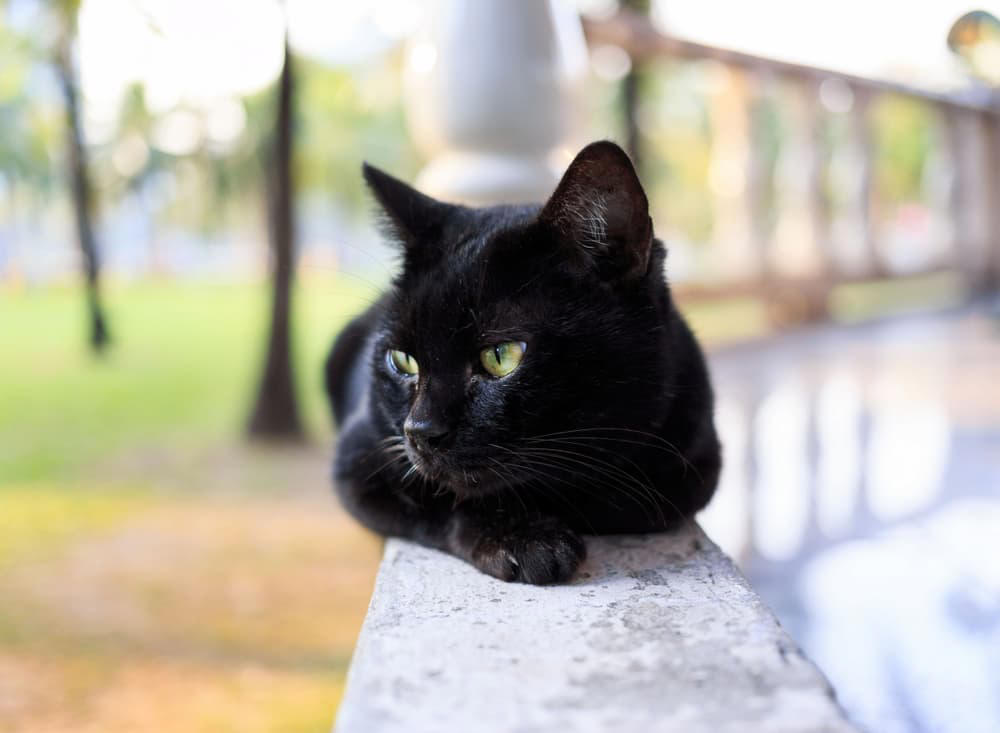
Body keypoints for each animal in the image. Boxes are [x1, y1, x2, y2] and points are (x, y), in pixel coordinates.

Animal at [326, 142, 720, 584]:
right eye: (403, 360)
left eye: (501, 356)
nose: (420, 431)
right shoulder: (360, 459)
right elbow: (444, 497)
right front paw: (527, 541)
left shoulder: (689, 469)